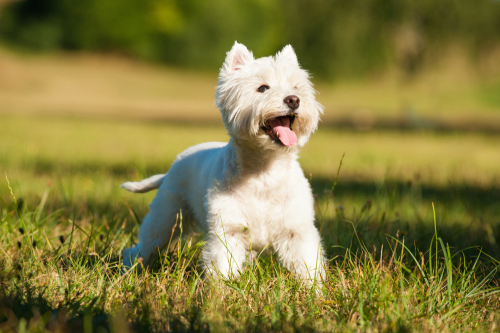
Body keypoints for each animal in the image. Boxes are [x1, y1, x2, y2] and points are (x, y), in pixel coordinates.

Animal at [121, 40, 324, 282]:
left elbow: (308, 266)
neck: (264, 171)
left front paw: (313, 289)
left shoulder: (297, 231)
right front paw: (223, 289)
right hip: (166, 218)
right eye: (263, 88)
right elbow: (223, 266)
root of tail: (172, 168)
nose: (293, 100)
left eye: (296, 87)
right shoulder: (228, 231)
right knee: (142, 247)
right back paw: (128, 270)